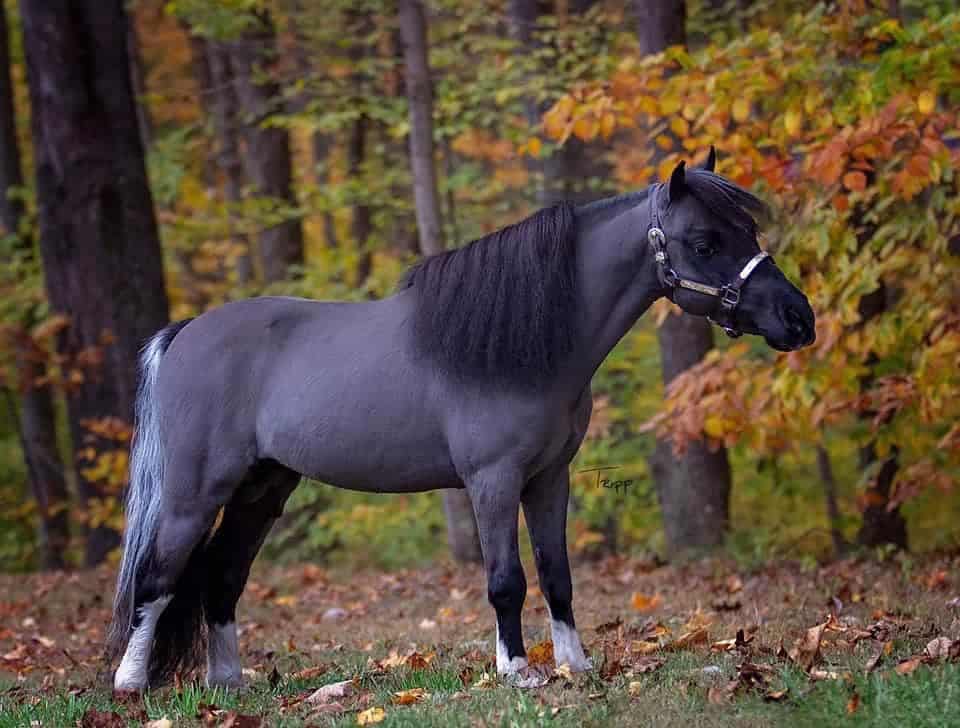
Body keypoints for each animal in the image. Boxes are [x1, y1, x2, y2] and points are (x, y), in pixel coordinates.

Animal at [107, 153, 816, 691]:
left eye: (748, 234)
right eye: (705, 242)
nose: (798, 318)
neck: (523, 343)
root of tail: (186, 332)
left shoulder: (549, 479)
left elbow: (557, 574)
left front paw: (575, 666)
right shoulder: (492, 480)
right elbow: (507, 579)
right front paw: (517, 671)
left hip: (263, 488)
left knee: (223, 577)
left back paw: (229, 683)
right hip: (195, 493)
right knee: (159, 577)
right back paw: (132, 684)